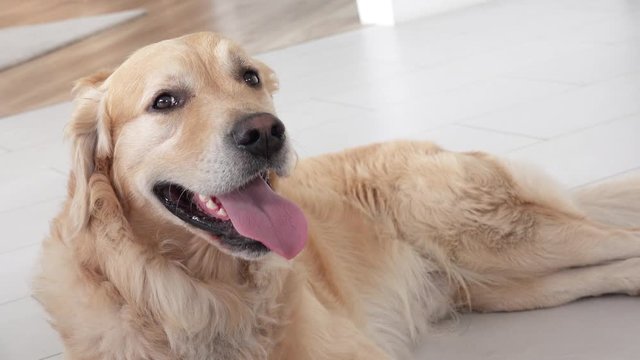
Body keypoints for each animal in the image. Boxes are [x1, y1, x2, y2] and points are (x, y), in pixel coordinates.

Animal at [33, 32, 640, 358]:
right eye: (165, 101)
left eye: (249, 77)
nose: (266, 132)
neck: (201, 294)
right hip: (505, 283)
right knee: (612, 269)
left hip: (500, 239)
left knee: (622, 238)